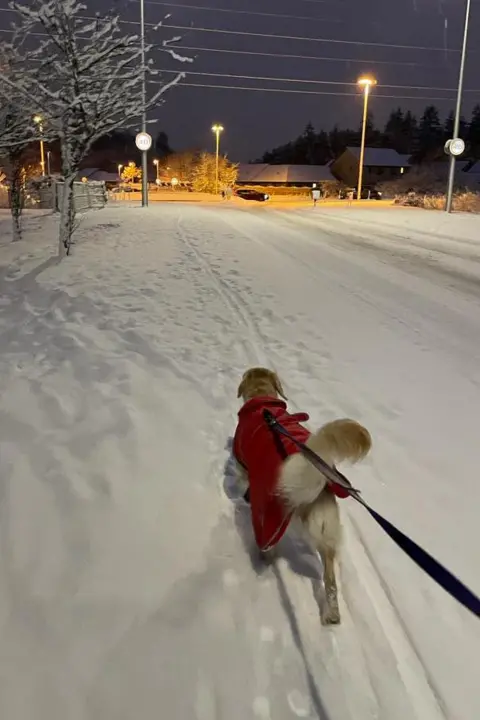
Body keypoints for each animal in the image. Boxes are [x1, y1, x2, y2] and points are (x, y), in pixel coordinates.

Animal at [232, 366, 372, 624]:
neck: (263, 402)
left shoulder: (243, 464)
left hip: (269, 519)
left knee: (268, 546)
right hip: (326, 530)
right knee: (330, 579)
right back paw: (332, 615)